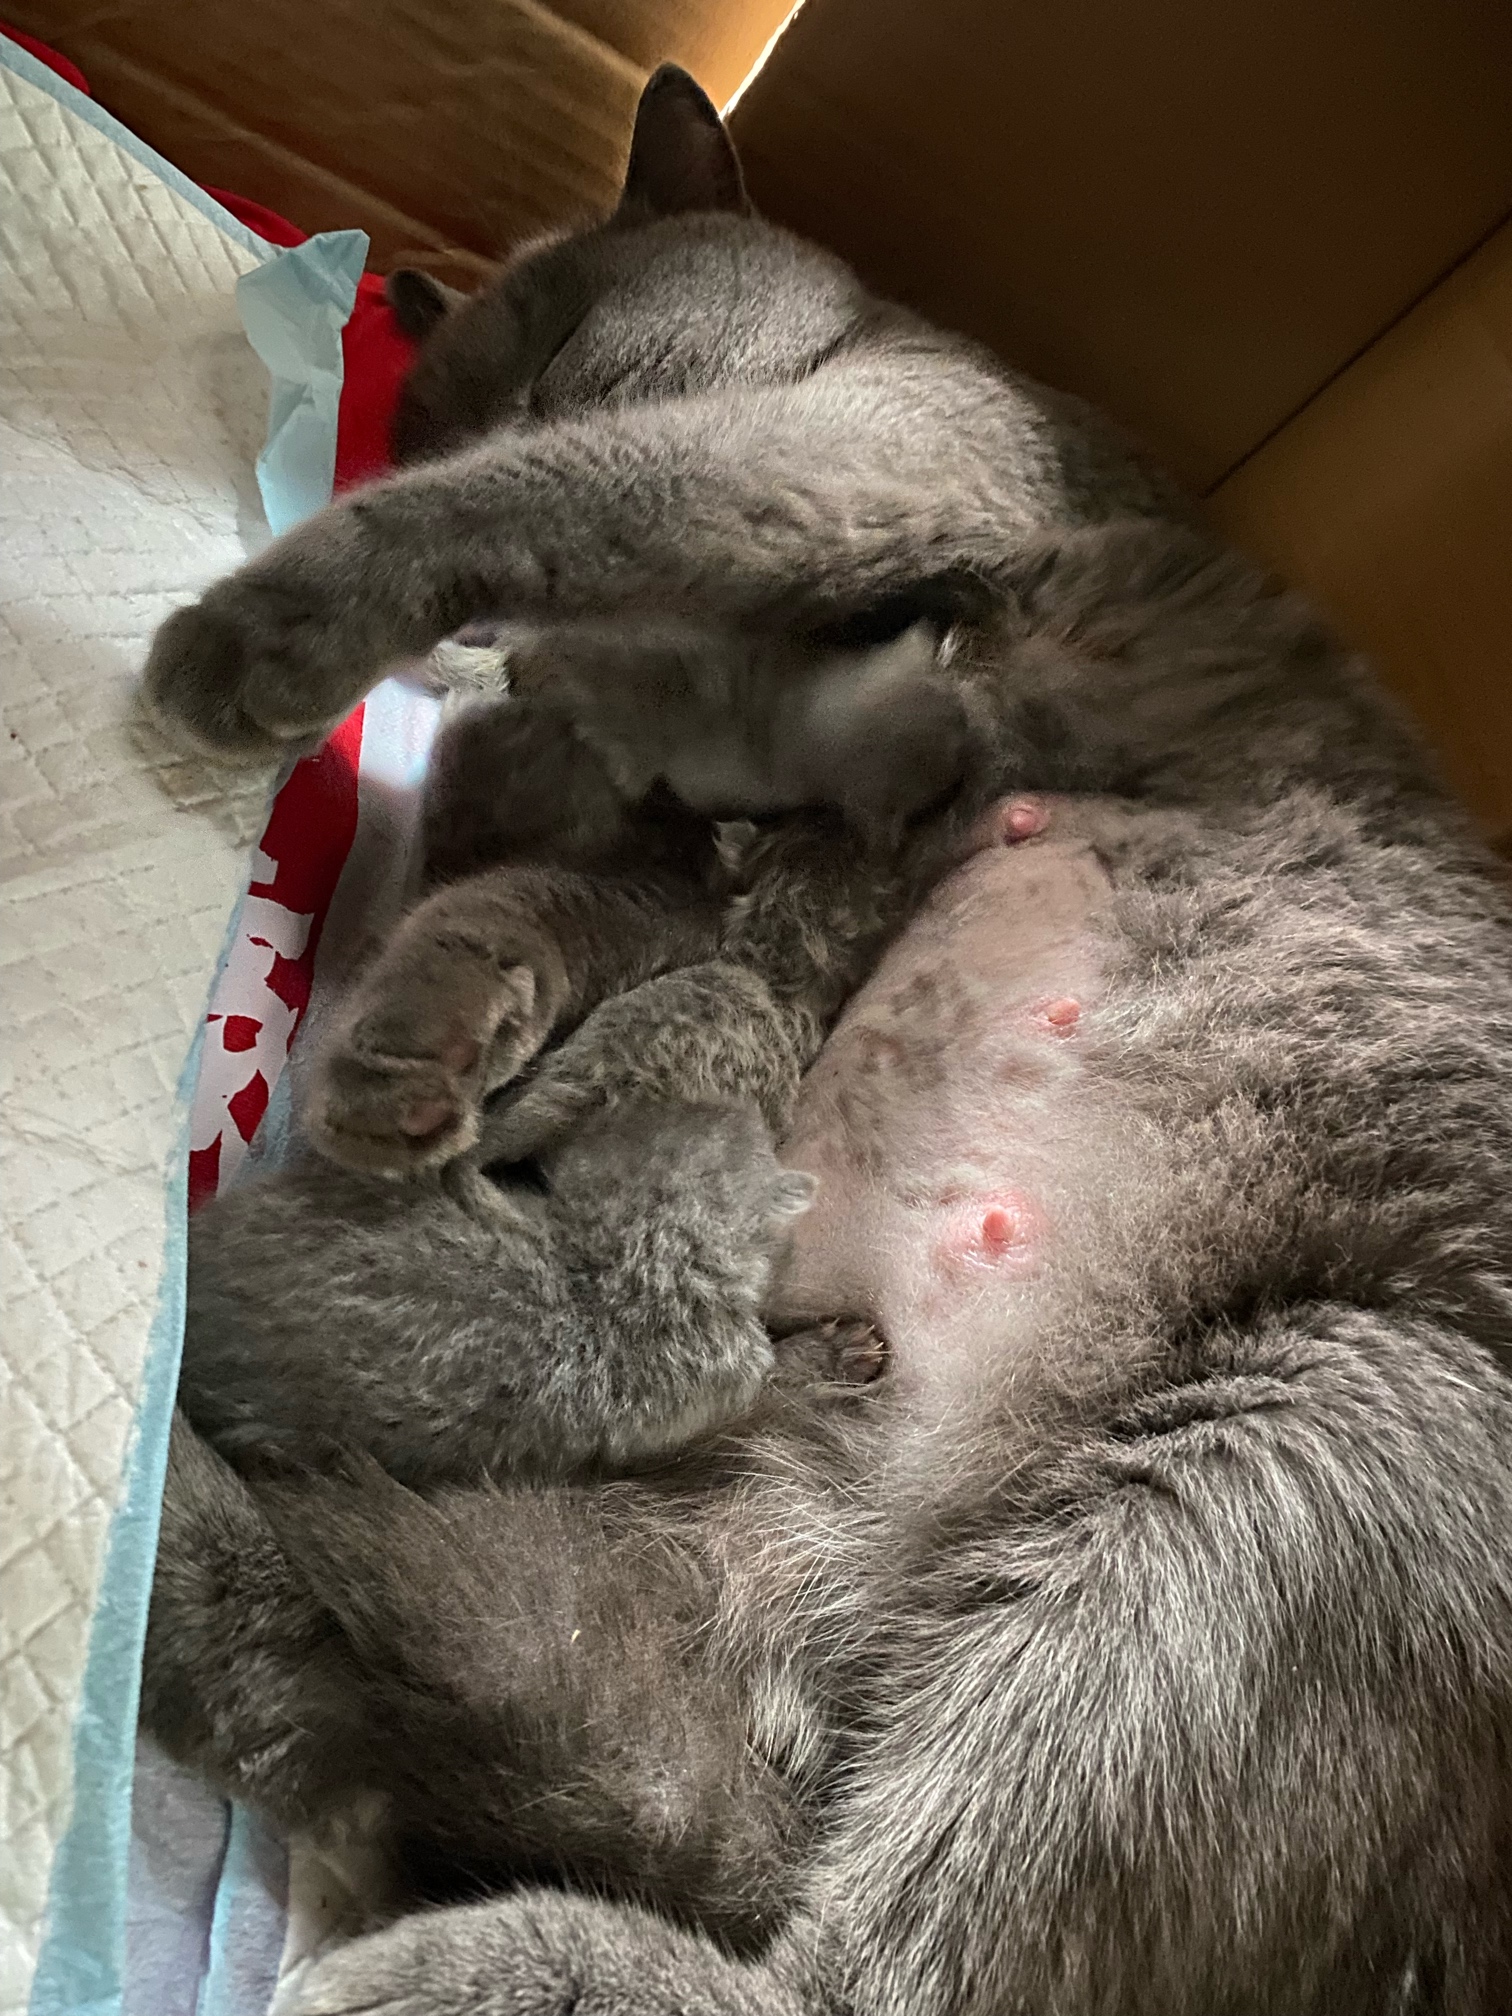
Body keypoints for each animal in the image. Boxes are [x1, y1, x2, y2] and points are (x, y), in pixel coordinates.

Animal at [142, 64, 1512, 2016]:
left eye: (567, 349)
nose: (504, 657)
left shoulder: (860, 456)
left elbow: (557, 506)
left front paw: (261, 633)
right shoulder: (686, 855)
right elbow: (545, 883)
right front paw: (431, 1029)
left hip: (1294, 1455)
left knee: (853, 1969)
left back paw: (417, 1970)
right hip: (747, 1552)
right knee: (535, 1730)